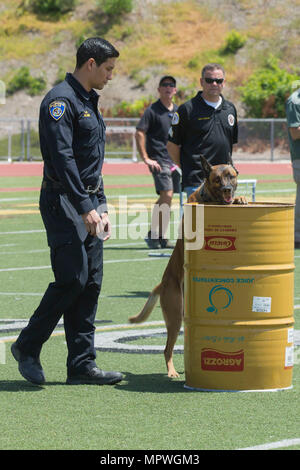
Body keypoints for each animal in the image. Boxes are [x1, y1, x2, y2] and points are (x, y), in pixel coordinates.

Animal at [127, 156, 247, 380]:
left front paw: (241, 198)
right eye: (217, 179)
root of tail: (162, 283)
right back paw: (172, 371)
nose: (227, 189)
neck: (209, 197)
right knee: (167, 349)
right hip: (175, 316)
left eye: (231, 177)